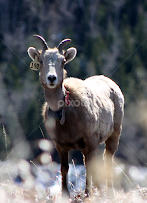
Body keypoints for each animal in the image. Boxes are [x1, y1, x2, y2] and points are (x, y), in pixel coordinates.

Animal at [27, 35, 124, 197]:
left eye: (63, 61)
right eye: (41, 61)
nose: (51, 78)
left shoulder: (91, 140)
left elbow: (90, 167)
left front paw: (90, 193)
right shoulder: (60, 145)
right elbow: (64, 169)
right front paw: (65, 194)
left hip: (114, 134)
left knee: (107, 159)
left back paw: (107, 191)